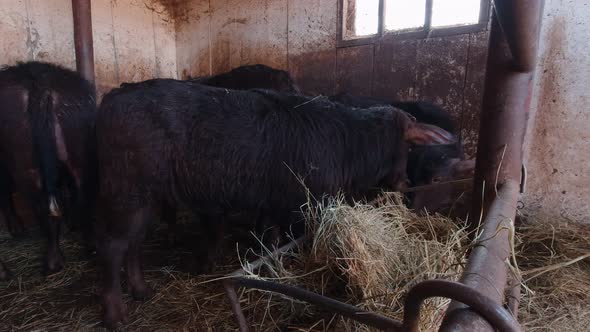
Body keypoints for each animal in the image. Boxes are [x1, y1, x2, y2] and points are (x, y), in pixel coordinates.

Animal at [96, 80, 458, 326]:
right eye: (409, 147)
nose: (405, 182)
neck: (348, 141)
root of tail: (115, 97)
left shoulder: (273, 205)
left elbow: (271, 241)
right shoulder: (303, 207)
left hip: (148, 197)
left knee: (134, 243)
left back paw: (140, 289)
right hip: (127, 191)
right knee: (113, 247)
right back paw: (114, 312)